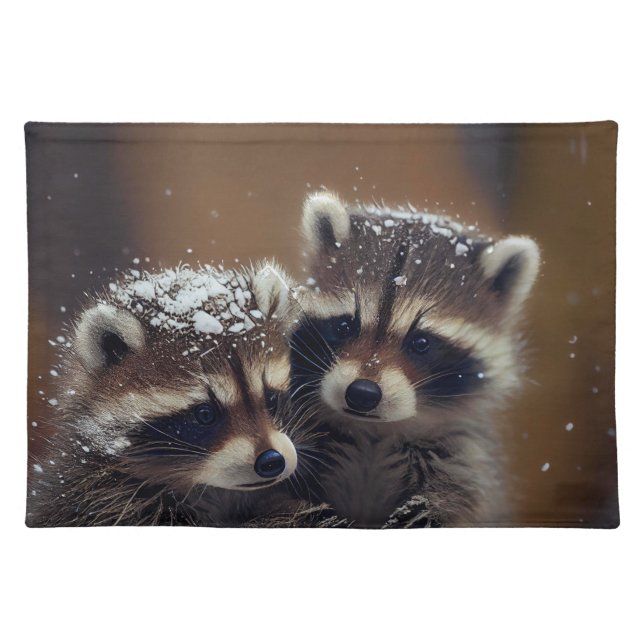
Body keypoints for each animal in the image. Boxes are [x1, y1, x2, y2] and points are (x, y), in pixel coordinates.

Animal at [290, 192, 541, 527]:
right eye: (344, 327)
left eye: (421, 343)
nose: (362, 394)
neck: (375, 433)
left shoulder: (465, 454)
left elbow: (466, 499)